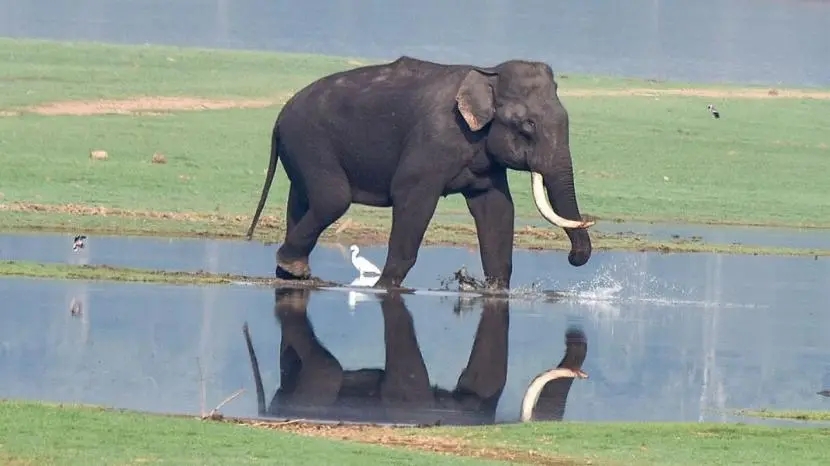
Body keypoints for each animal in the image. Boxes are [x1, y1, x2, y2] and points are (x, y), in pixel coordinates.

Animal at [245, 56, 594, 290]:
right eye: (528, 125)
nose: (573, 258)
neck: (487, 72)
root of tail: (280, 117)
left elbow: (496, 208)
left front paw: (496, 291)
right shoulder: (433, 142)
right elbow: (412, 196)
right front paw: (385, 288)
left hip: (301, 149)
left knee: (302, 198)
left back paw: (294, 273)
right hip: (309, 141)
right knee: (333, 198)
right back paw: (292, 267)